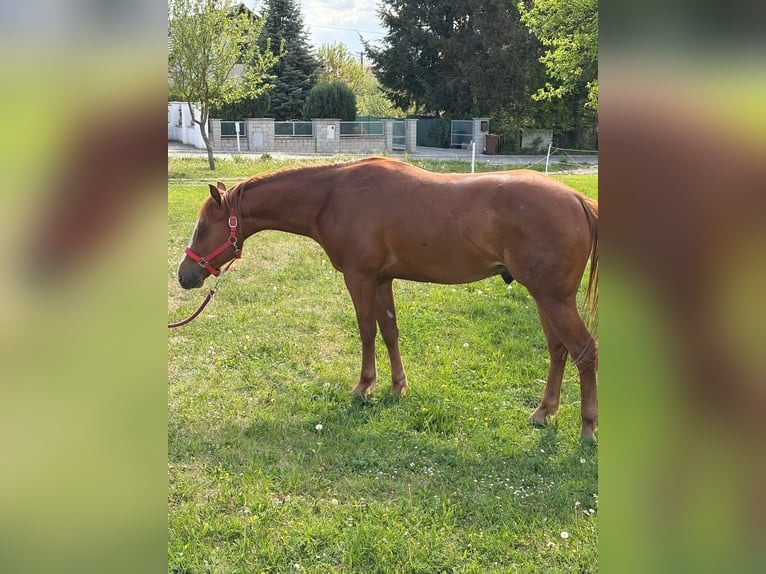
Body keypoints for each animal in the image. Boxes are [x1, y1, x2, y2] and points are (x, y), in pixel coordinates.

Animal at [177, 157, 599, 439]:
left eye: (202, 228)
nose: (185, 276)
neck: (332, 196)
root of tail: (578, 200)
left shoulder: (359, 278)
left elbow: (366, 332)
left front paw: (364, 387)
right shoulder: (381, 280)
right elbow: (390, 332)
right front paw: (397, 387)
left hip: (554, 298)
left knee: (584, 350)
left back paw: (588, 428)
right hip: (544, 298)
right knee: (558, 350)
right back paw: (544, 412)